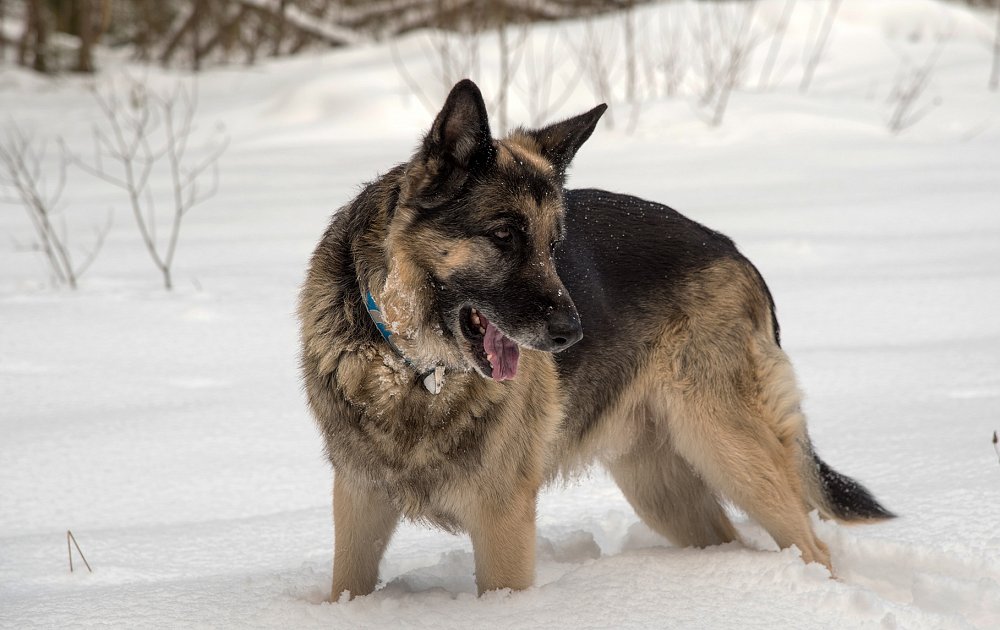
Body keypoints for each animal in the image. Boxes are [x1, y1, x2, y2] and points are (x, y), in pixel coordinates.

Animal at [296, 80, 892, 604]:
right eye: (504, 236)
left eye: (553, 245)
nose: (572, 333)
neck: (412, 370)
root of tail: (734, 250)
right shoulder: (359, 503)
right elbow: (346, 589)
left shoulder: (501, 518)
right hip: (661, 485)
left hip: (728, 447)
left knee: (813, 546)